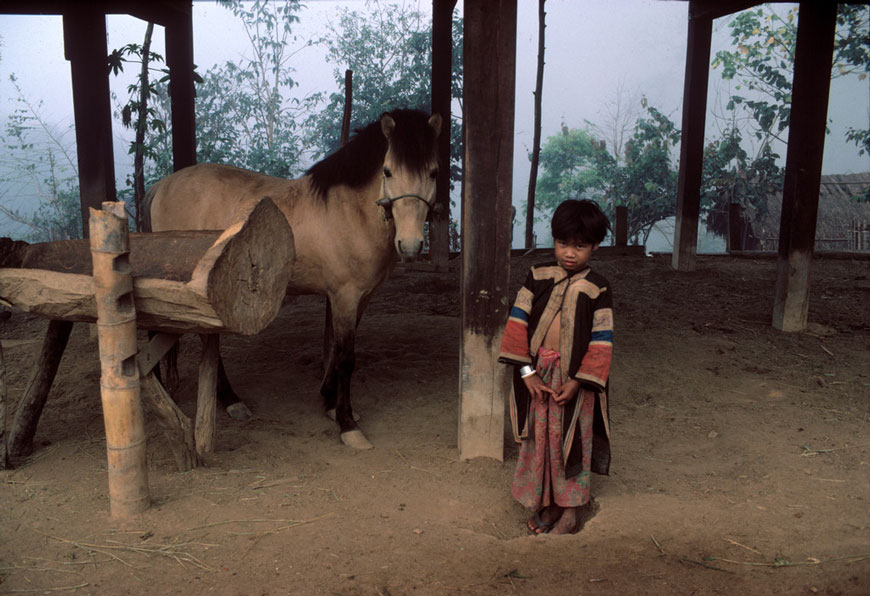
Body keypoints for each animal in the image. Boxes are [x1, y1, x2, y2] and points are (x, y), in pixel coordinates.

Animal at [146, 109, 442, 450]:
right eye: (388, 172)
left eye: (433, 173)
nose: (410, 245)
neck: (349, 210)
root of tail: (163, 185)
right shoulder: (345, 296)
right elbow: (345, 357)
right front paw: (347, 423)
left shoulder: (359, 298)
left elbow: (335, 352)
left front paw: (329, 403)